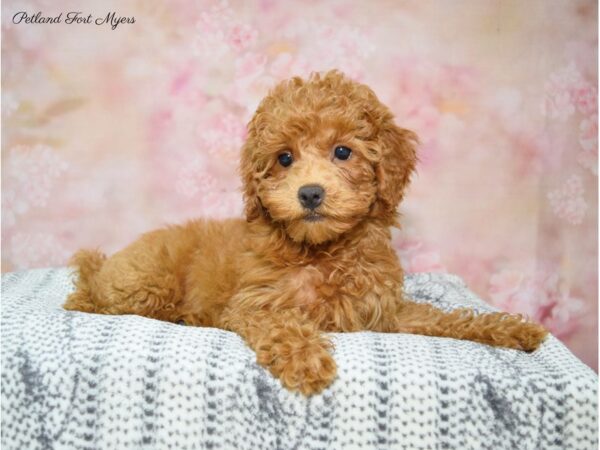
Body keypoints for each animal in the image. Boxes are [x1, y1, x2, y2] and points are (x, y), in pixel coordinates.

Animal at [63, 69, 548, 394]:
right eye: (284, 158)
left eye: (342, 152)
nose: (310, 193)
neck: (323, 253)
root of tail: (104, 265)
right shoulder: (255, 304)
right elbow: (282, 323)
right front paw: (305, 358)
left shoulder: (383, 313)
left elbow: (443, 318)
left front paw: (510, 329)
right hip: (144, 286)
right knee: (89, 300)